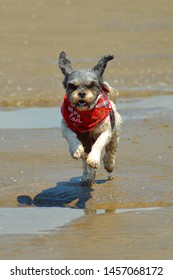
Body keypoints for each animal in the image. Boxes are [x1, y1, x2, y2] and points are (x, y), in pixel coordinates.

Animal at [58, 51, 122, 186]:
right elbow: (71, 136)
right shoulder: (65, 127)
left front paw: (94, 159)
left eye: (92, 86)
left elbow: (99, 143)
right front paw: (76, 149)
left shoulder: (106, 132)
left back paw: (108, 164)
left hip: (115, 135)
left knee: (110, 151)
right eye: (72, 86)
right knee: (85, 162)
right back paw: (87, 177)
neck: (85, 115)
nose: (82, 93)